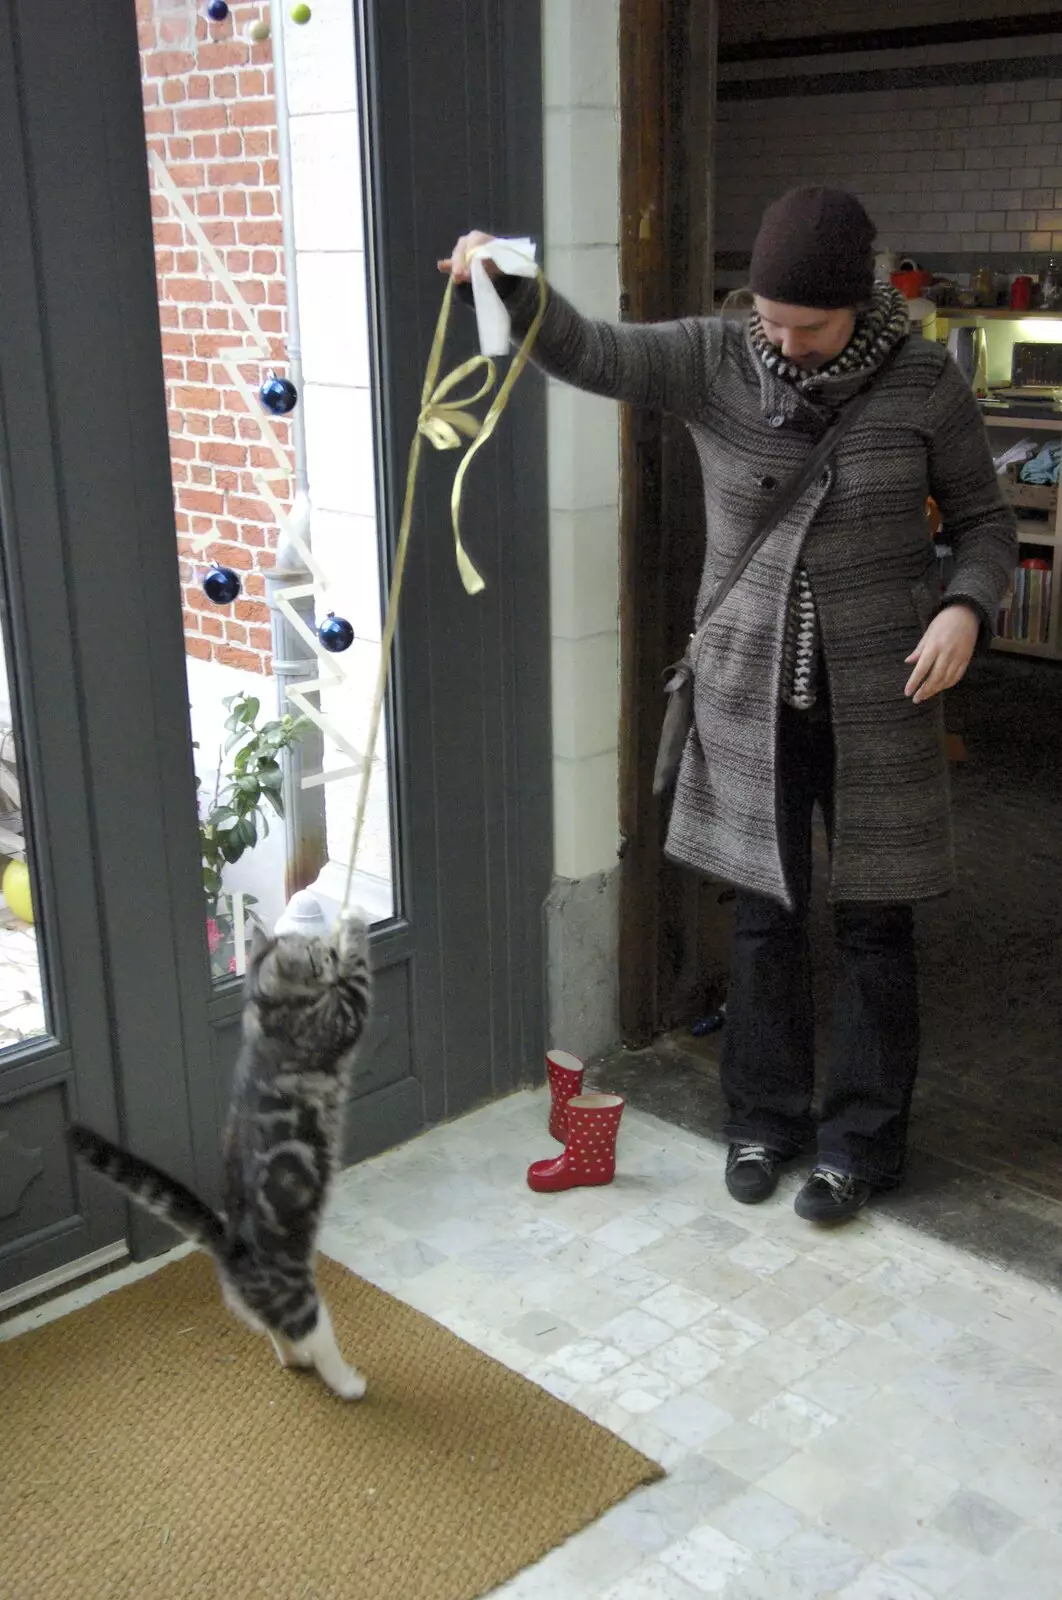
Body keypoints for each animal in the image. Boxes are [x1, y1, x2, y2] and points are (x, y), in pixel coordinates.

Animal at [67, 908, 372, 1408]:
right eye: (317, 953)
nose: (326, 948)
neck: (265, 1007)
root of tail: (230, 1250)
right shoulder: (344, 1014)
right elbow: (358, 978)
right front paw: (353, 924)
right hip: (300, 1299)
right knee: (313, 1336)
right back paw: (347, 1383)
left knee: (278, 1337)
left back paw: (297, 1361)